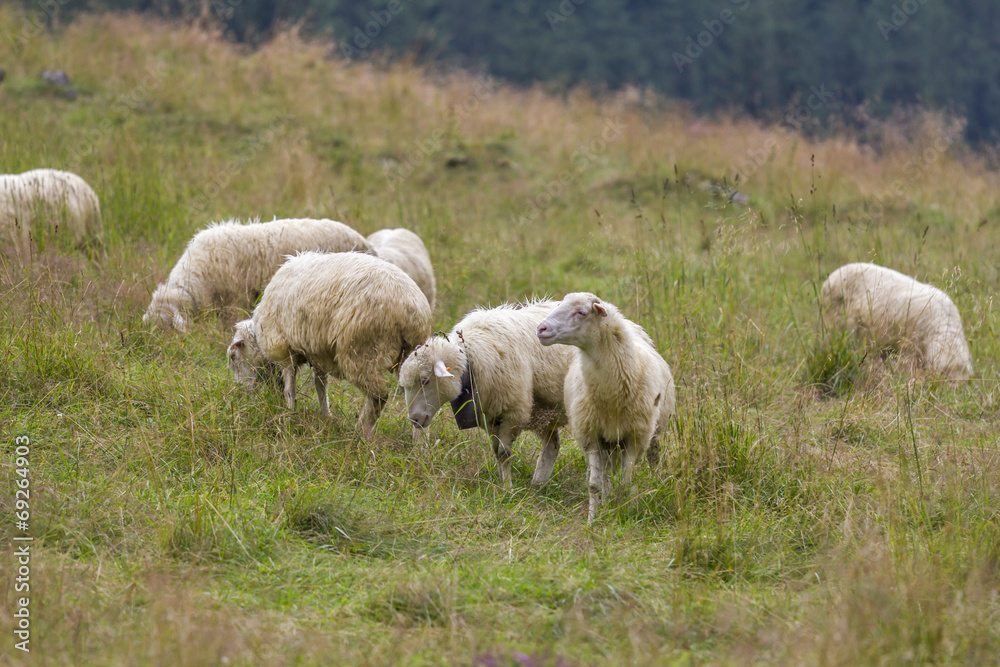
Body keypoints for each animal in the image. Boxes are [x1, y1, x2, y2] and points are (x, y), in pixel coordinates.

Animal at [227, 252, 430, 438]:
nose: (242, 393)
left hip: (362, 353)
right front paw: (325, 415)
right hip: (410, 356)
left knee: (378, 395)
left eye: (233, 357)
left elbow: (290, 387)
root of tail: (411, 310)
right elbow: (320, 384)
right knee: (418, 395)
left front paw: (289, 413)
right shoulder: (317, 354)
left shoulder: (283, 349)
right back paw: (419, 442)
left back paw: (363, 432)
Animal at [394, 302, 576, 486]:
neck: (470, 358)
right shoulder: (490, 416)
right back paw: (538, 484)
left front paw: (508, 488)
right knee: (552, 445)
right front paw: (502, 483)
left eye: (425, 380)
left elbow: (503, 453)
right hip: (546, 411)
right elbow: (496, 451)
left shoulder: (512, 411)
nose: (414, 419)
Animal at [536, 294, 676, 524]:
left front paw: (628, 514)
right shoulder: (591, 435)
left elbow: (626, 481)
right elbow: (594, 484)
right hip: (609, 442)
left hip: (651, 430)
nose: (541, 329)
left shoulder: (634, 437)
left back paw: (654, 483)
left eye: (581, 312)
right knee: (608, 473)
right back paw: (608, 499)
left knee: (653, 456)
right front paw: (593, 519)